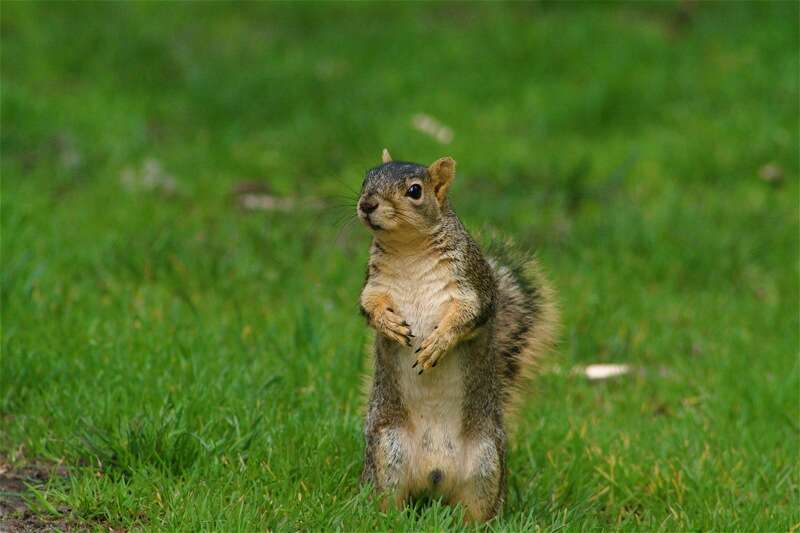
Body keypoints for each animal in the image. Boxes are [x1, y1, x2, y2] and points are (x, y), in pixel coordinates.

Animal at [356, 149, 556, 520]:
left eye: (415, 191)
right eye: (366, 178)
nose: (367, 204)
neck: (408, 250)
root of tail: (435, 474)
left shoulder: (473, 284)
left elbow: (468, 316)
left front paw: (438, 343)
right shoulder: (374, 285)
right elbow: (369, 305)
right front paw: (388, 324)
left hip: (485, 465)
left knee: (477, 508)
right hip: (386, 451)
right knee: (389, 495)